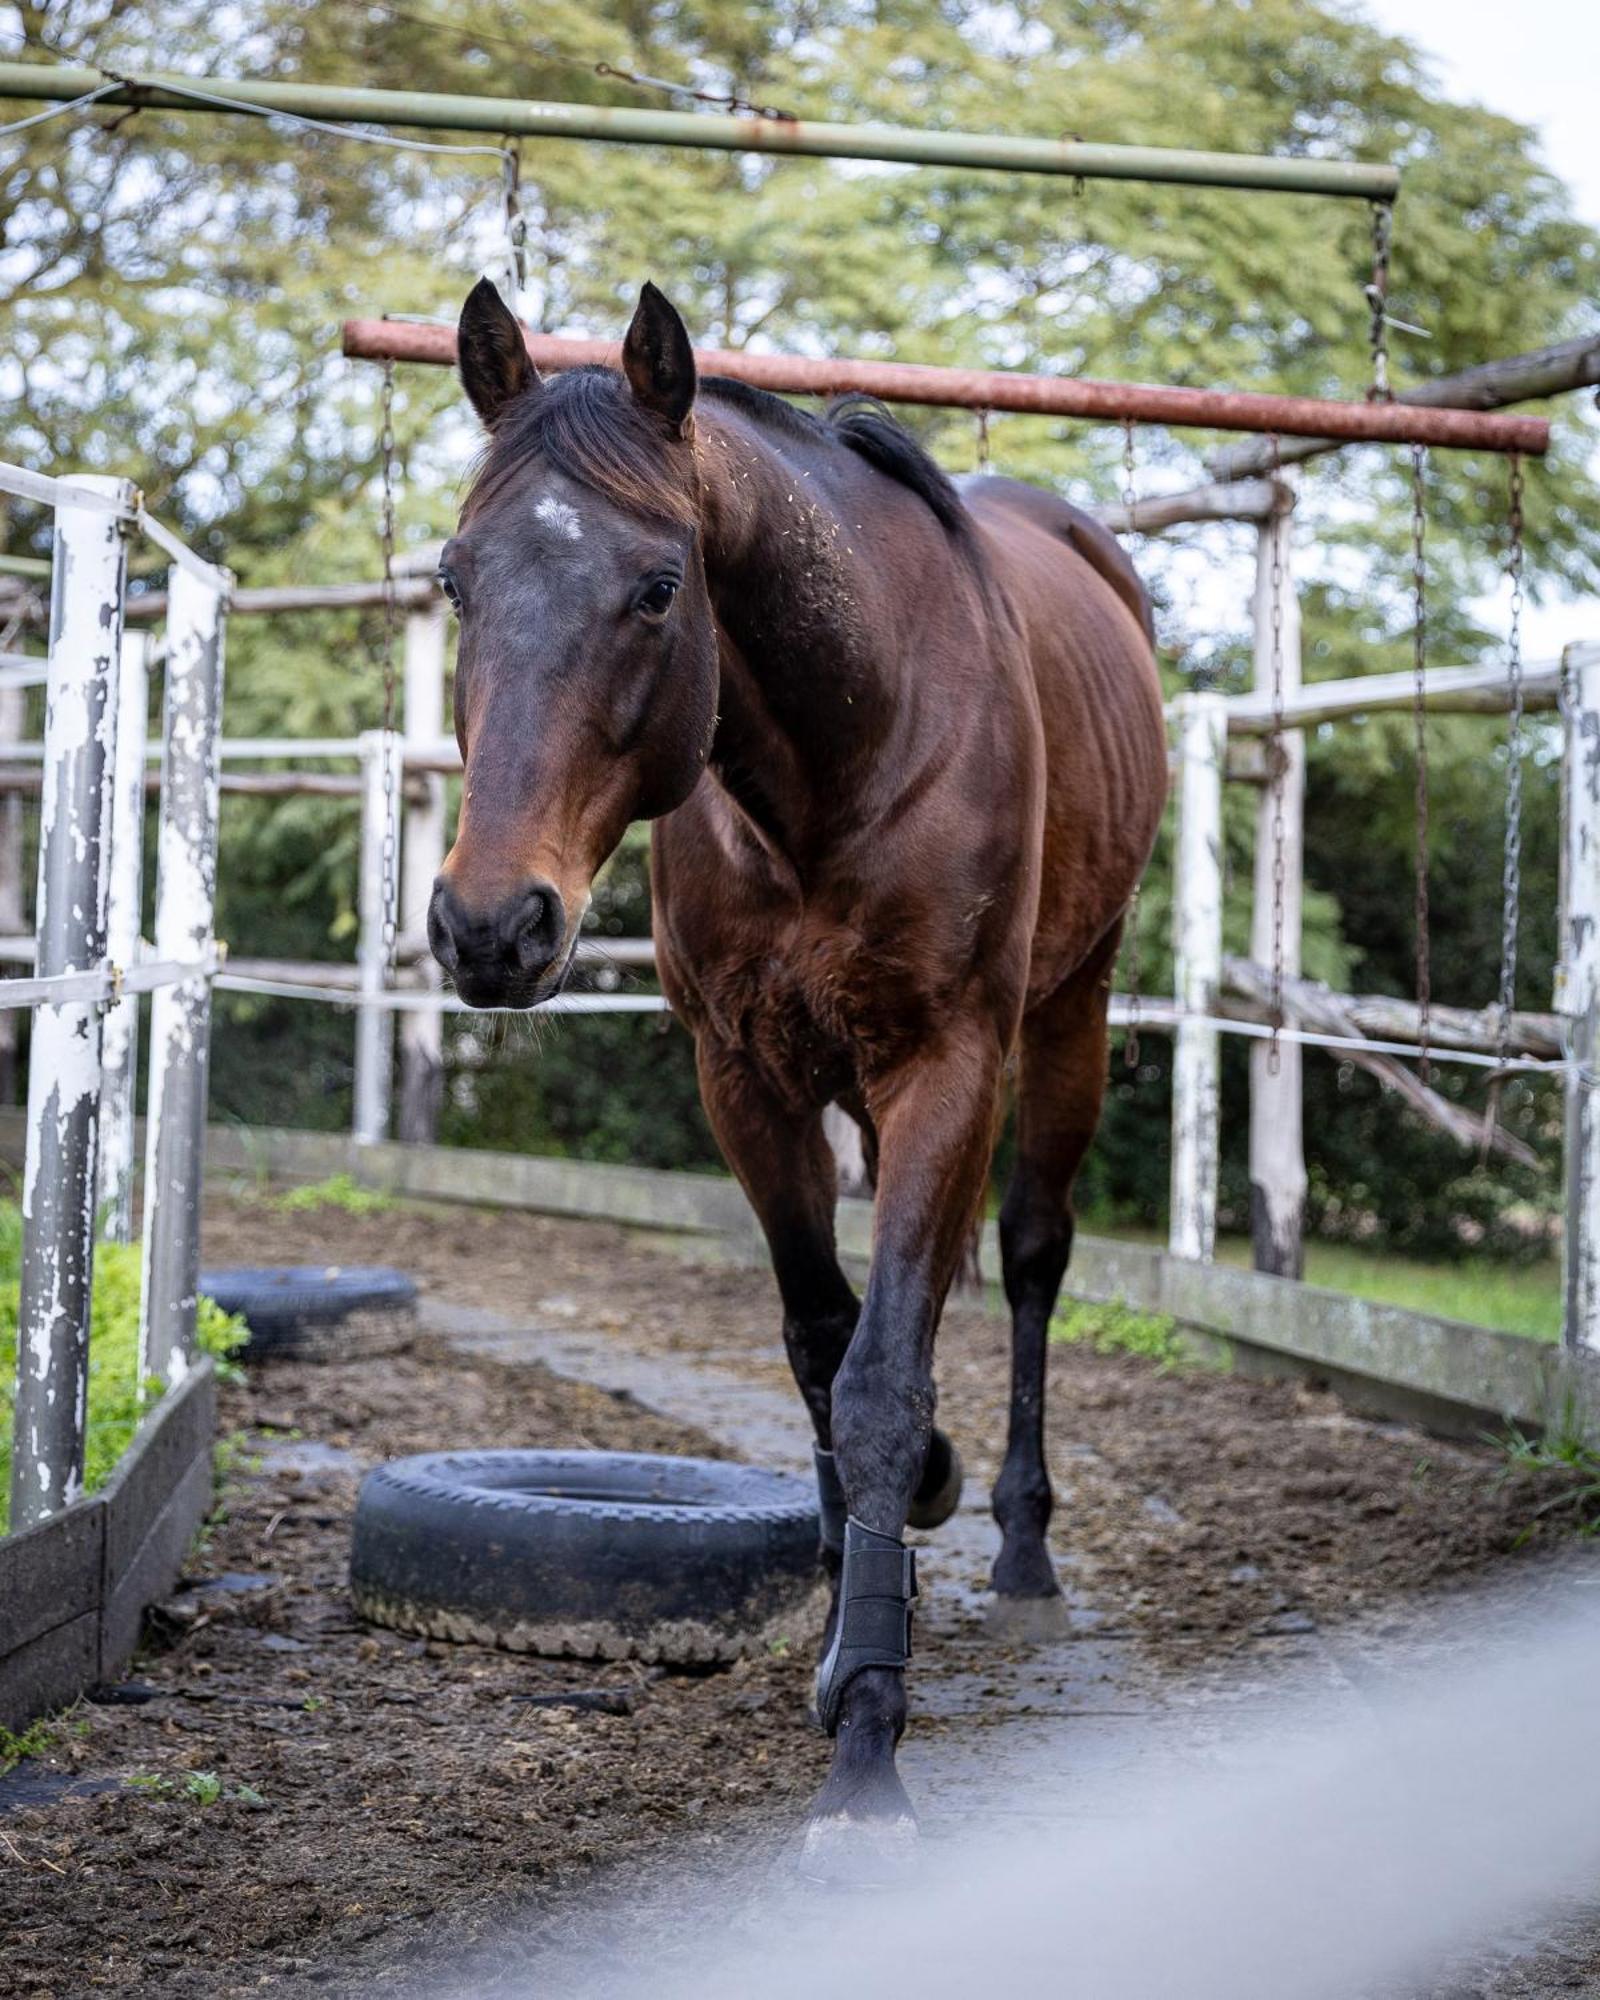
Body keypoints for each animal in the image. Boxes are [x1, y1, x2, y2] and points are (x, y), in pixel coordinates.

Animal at [432, 274, 1168, 1880]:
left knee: (1030, 1258)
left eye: (659, 588)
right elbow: (828, 1346)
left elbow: (885, 1379)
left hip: (1066, 1018)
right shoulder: (745, 1077)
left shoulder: (949, 1061)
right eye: (454, 579)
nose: (489, 925)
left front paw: (869, 1758)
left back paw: (1020, 1546)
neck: (845, 749)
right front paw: (845, 1626)